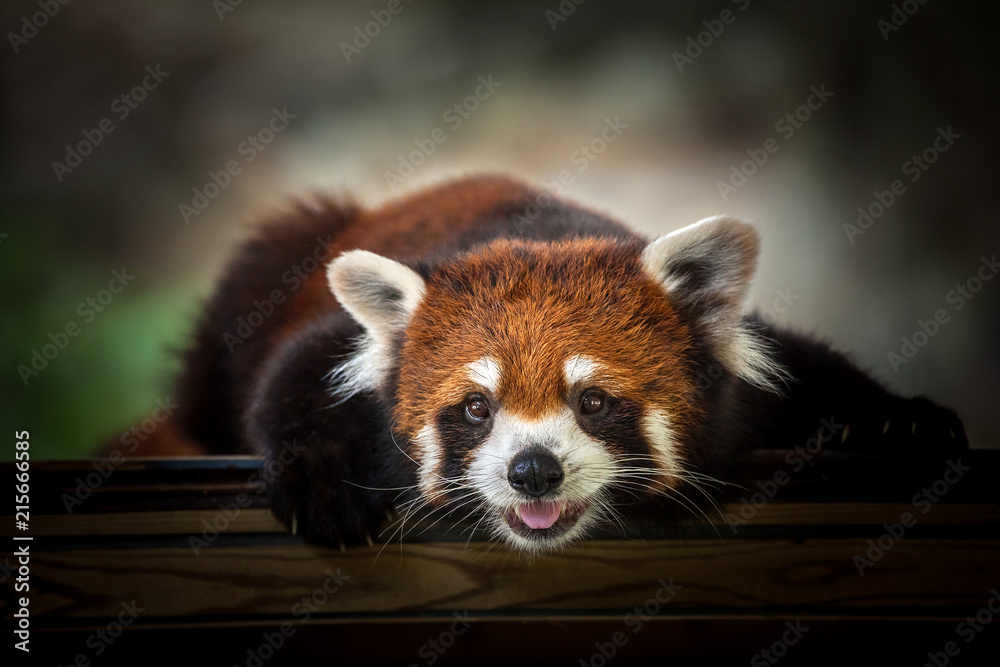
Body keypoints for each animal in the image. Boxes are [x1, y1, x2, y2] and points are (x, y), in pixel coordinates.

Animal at [160, 174, 966, 553]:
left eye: (594, 401)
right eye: (475, 408)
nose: (533, 471)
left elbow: (805, 362)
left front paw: (899, 422)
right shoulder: (334, 343)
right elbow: (294, 372)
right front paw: (321, 480)